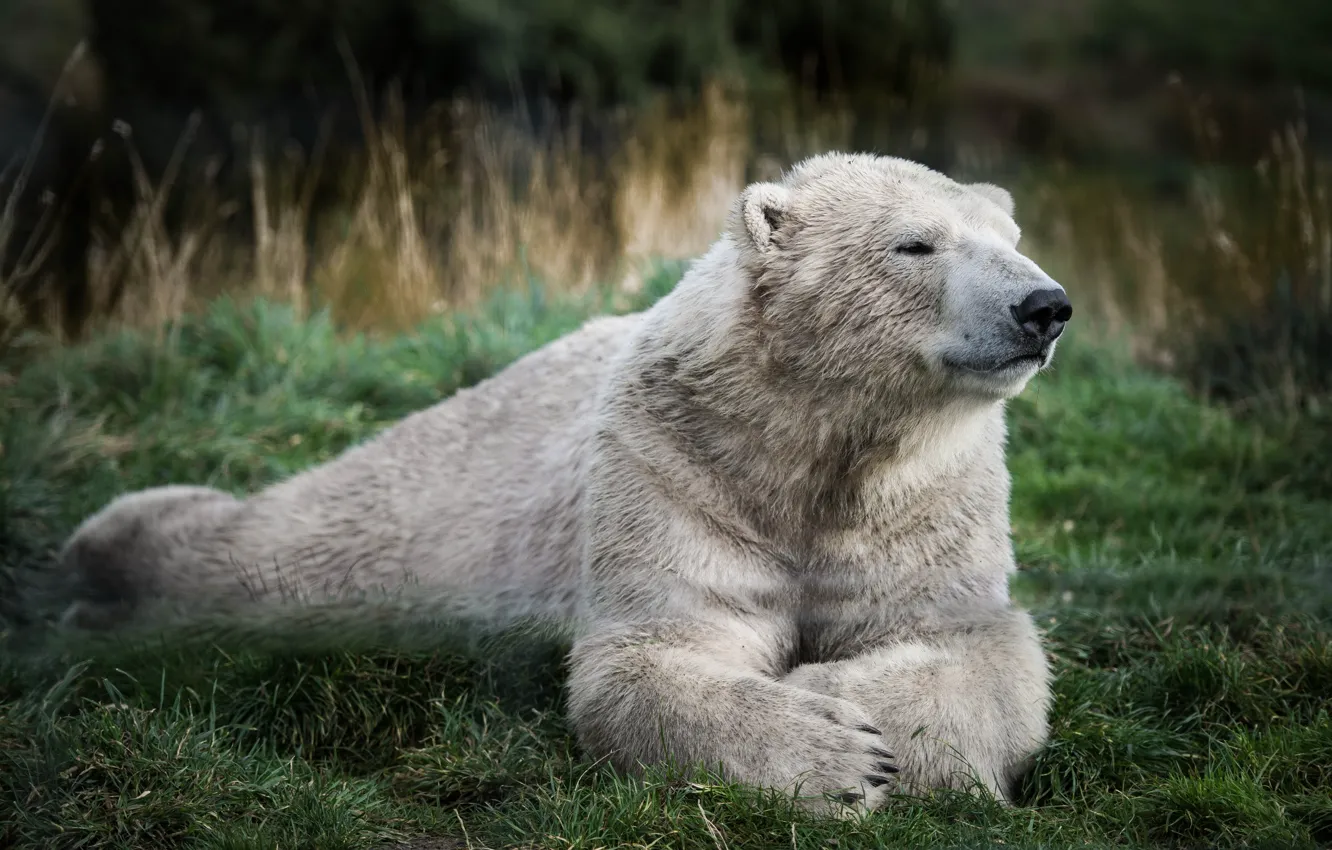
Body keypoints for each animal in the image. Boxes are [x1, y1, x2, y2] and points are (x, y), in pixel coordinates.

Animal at [51, 152, 1072, 813]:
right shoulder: (676, 466)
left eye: (1013, 235)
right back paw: (112, 551)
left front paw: (850, 699)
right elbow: (651, 654)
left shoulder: (926, 500)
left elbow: (976, 648)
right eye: (916, 245)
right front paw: (836, 750)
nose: (1045, 304)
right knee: (285, 552)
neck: (808, 438)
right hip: (429, 504)